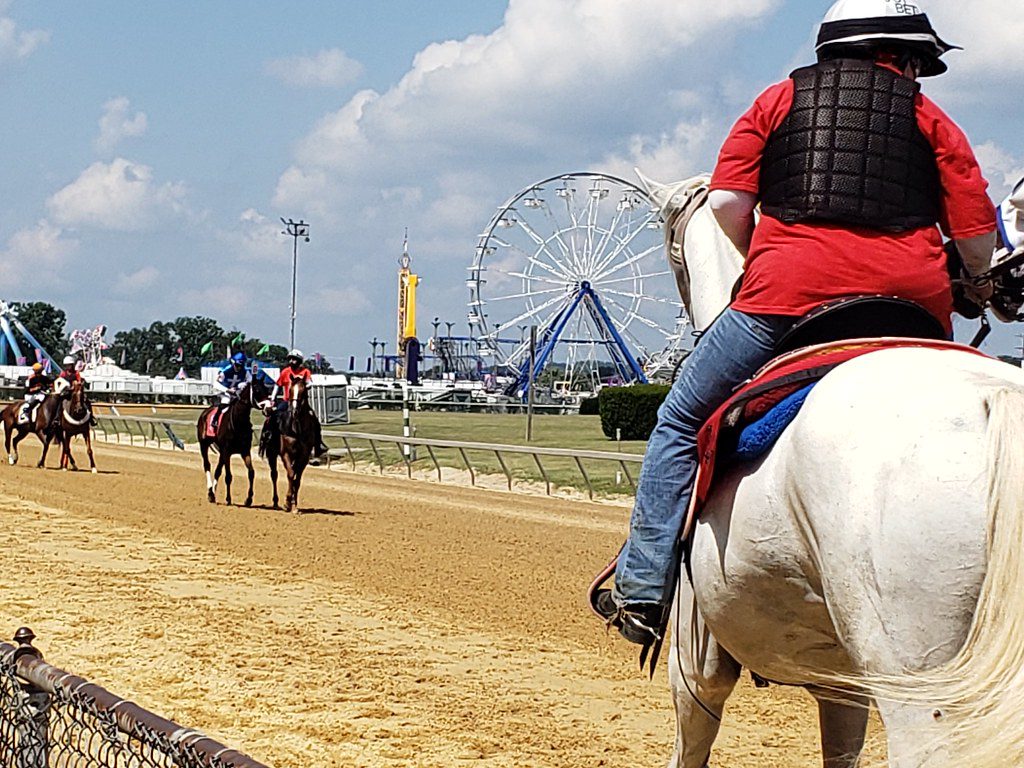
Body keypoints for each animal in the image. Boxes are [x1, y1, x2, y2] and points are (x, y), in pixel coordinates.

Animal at [260, 376, 315, 514]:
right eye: (290, 390)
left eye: (303, 391)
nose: (295, 411)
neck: (297, 429)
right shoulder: (286, 453)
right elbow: (290, 474)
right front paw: (287, 502)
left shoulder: (304, 456)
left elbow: (297, 479)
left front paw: (294, 505)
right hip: (271, 453)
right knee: (274, 474)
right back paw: (275, 502)